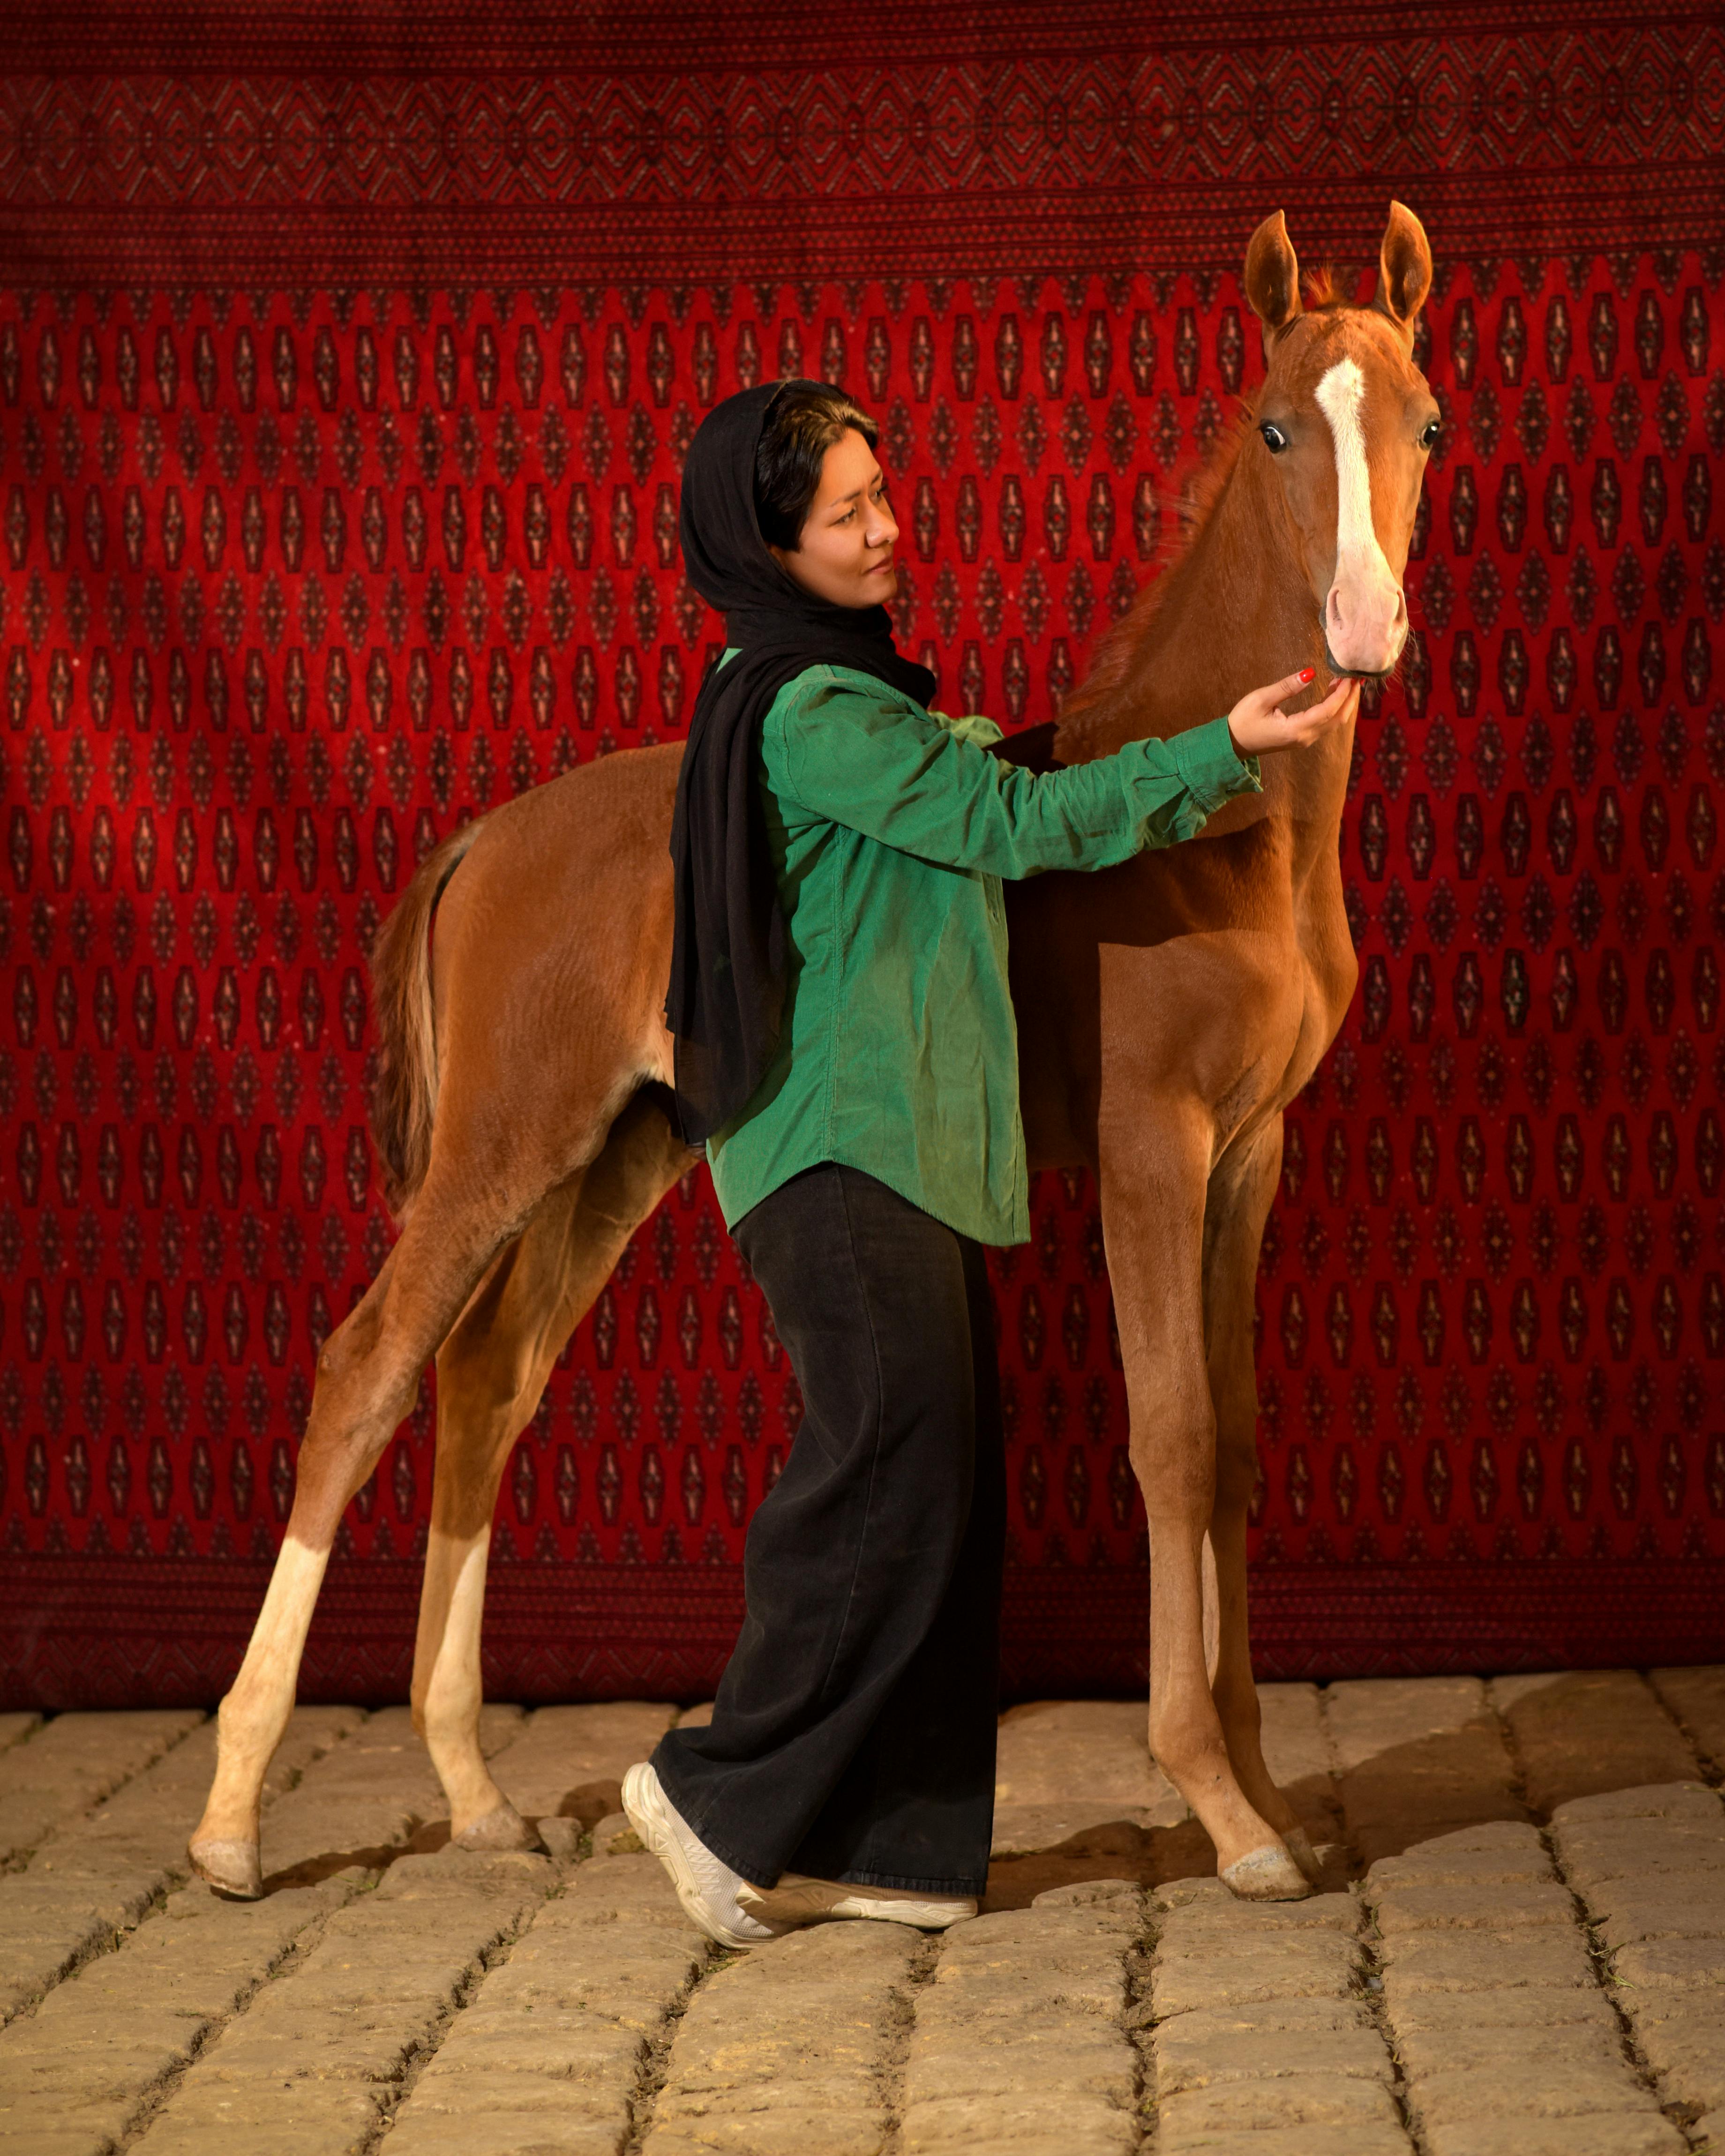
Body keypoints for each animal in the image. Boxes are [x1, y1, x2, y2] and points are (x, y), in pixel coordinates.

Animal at [188, 206, 1432, 1906]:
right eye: (1278, 428)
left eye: (1425, 425)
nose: (1361, 630)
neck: (1236, 849)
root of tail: (481, 841)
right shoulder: (1152, 1146)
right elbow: (1173, 1440)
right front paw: (1223, 1814)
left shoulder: (1253, 1155)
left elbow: (1238, 1447)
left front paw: (1270, 1796)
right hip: (506, 1138)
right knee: (367, 1367)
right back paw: (235, 1816)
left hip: (618, 1156)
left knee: (486, 1375)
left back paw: (477, 1795)